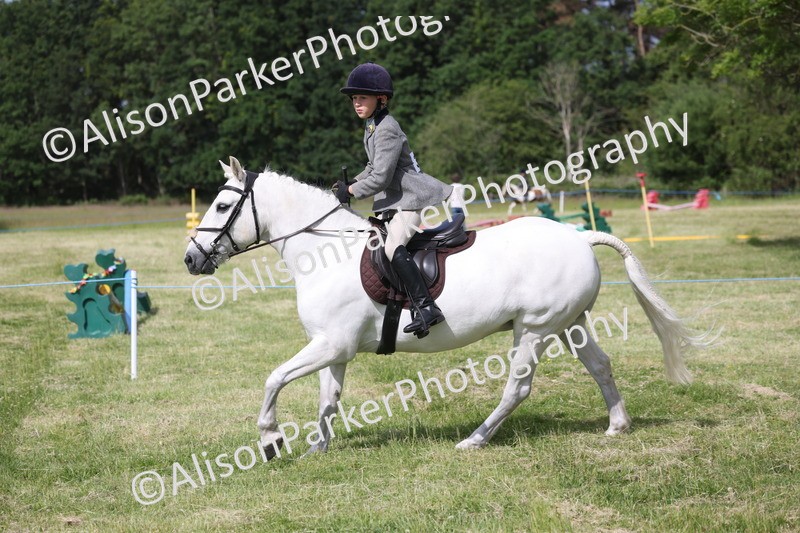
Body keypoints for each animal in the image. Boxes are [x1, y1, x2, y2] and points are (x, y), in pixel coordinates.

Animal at [184, 156, 714, 457]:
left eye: (220, 207)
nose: (191, 259)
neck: (322, 250)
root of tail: (579, 235)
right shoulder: (334, 348)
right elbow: (327, 401)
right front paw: (318, 448)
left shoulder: (330, 344)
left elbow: (273, 379)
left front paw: (271, 440)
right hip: (571, 324)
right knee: (600, 366)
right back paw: (617, 426)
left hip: (534, 330)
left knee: (518, 389)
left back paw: (475, 440)